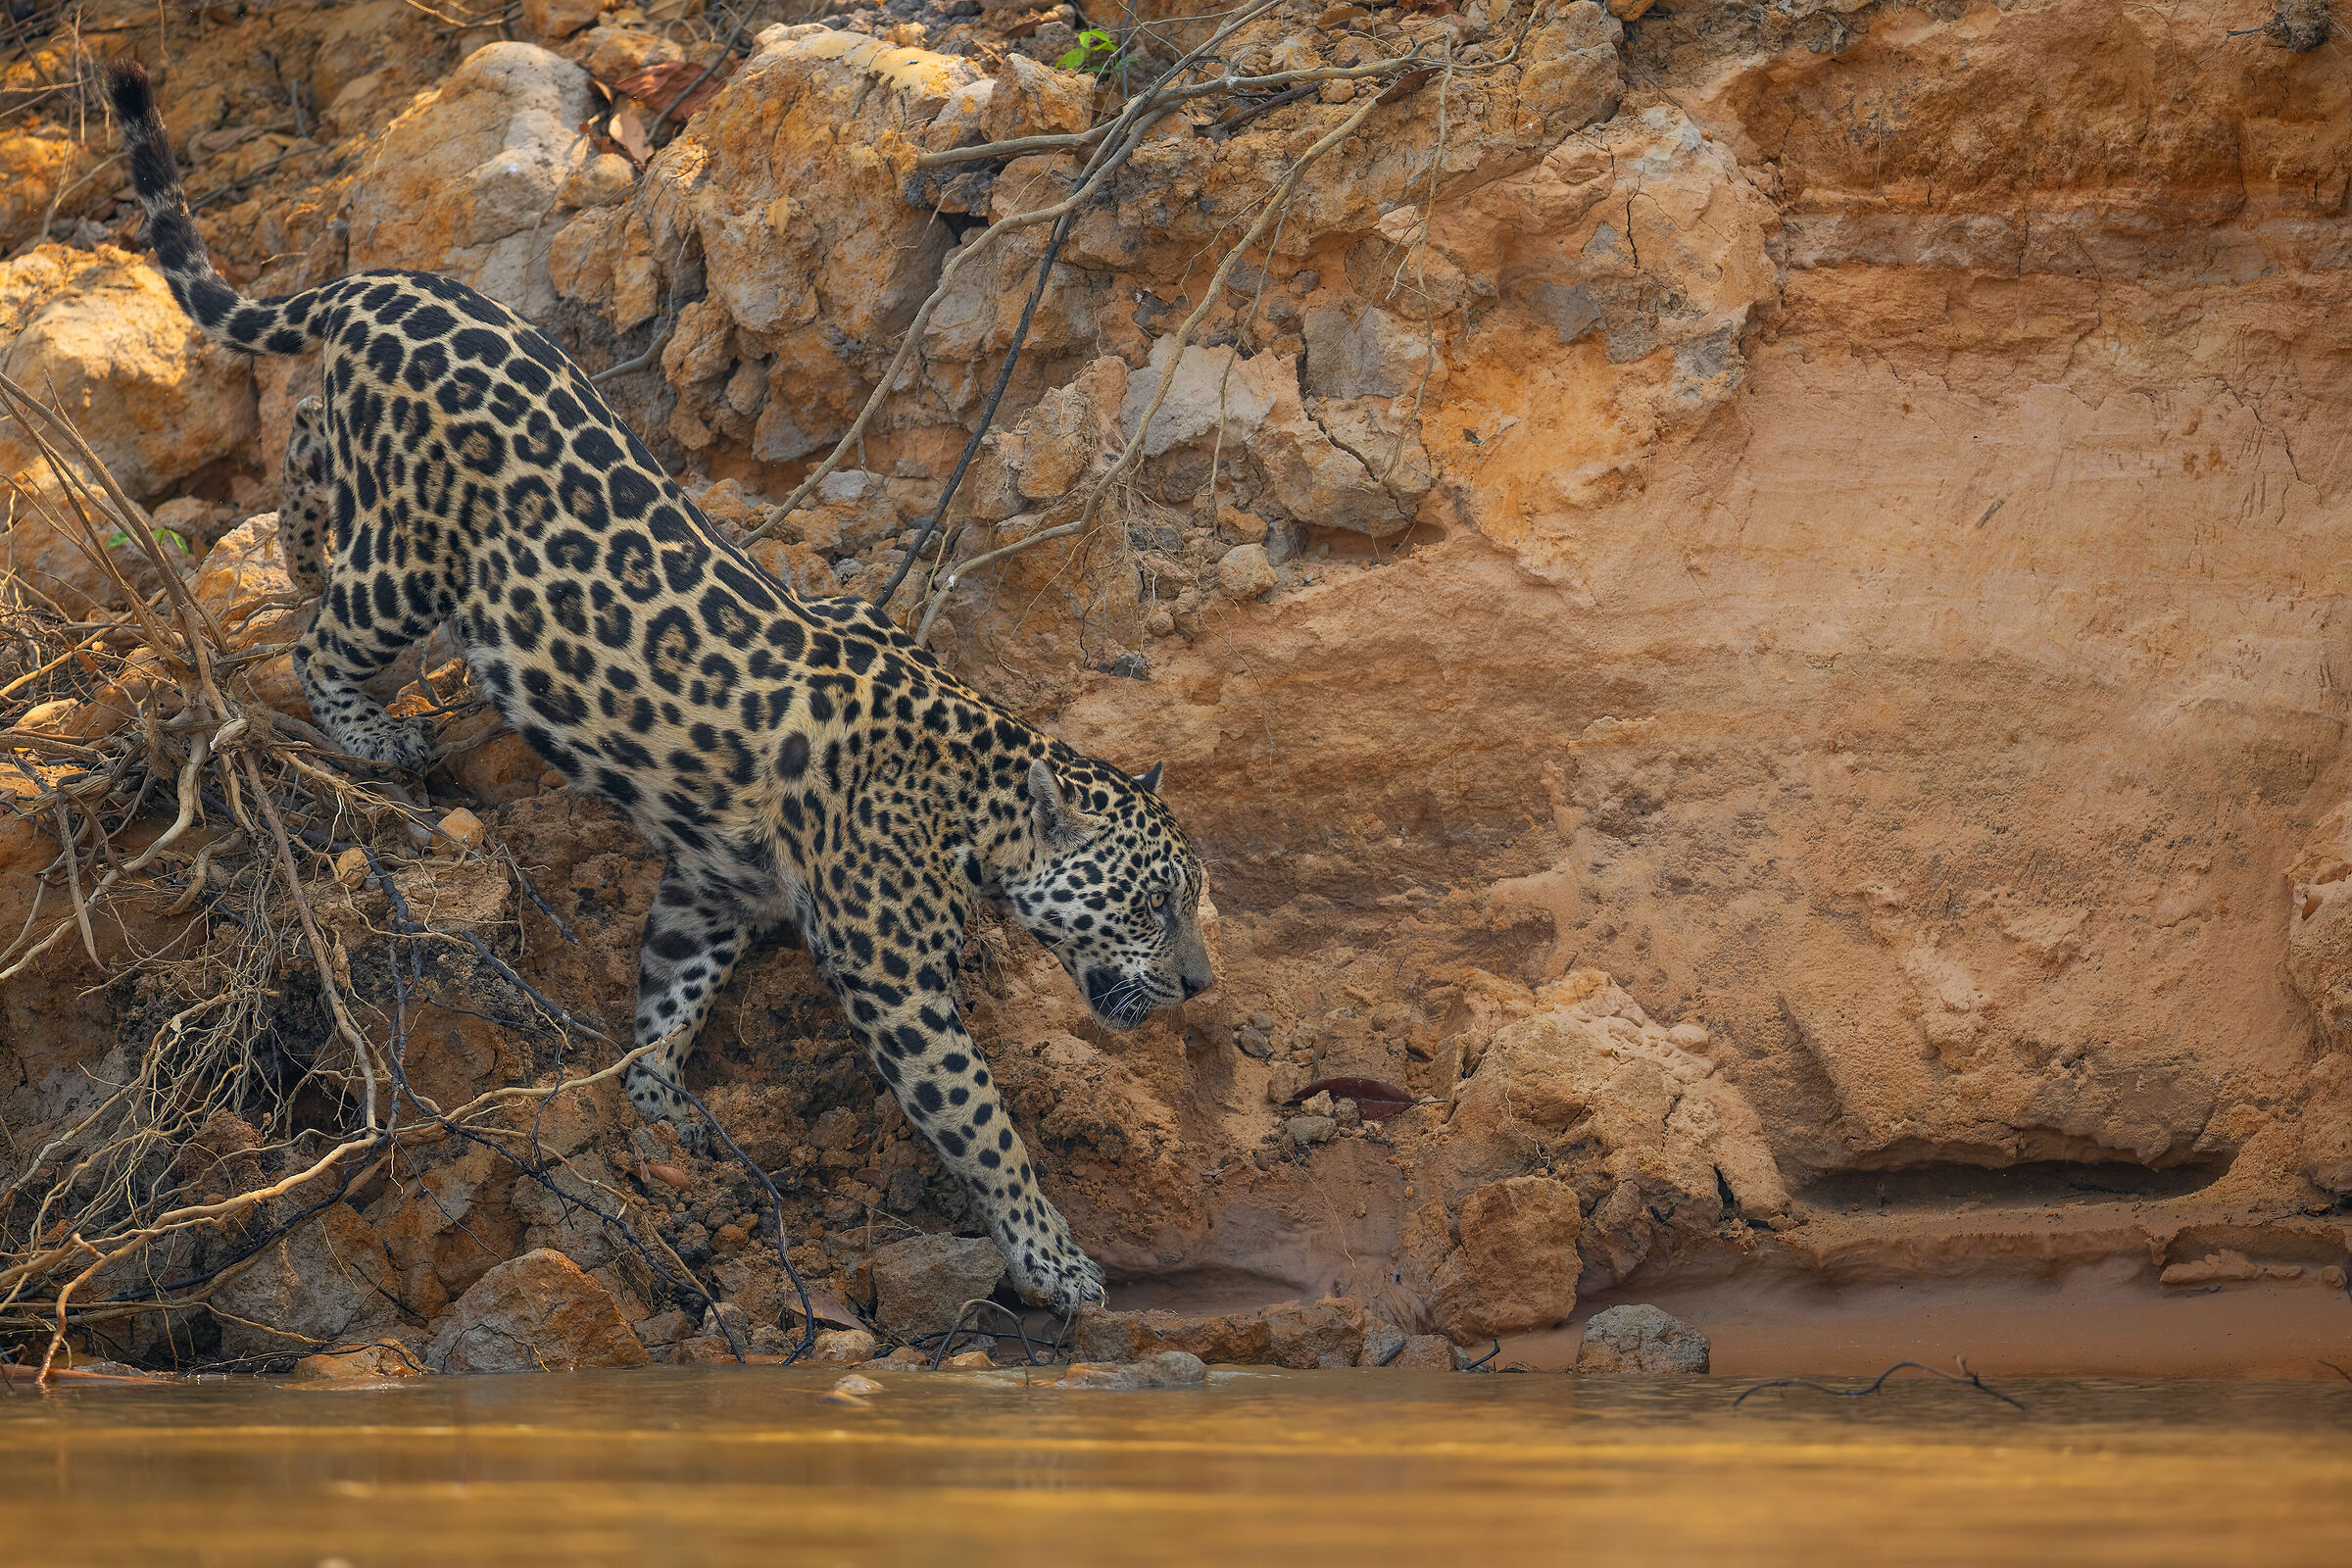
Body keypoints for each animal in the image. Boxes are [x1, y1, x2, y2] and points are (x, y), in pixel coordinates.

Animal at [109, 59, 1214, 1314]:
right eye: (1150, 903)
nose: (1198, 985)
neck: (974, 797)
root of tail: (384, 280)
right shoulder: (896, 984)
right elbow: (982, 1124)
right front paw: (1054, 1258)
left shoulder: (712, 884)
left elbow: (670, 991)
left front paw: (657, 1100)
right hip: (411, 559)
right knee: (320, 641)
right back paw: (369, 729)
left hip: (368, 474)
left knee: (301, 433)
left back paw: (294, 552)